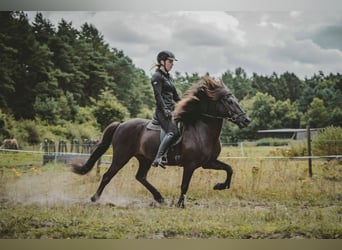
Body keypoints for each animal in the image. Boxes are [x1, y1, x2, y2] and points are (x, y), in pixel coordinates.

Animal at [73, 75, 248, 207]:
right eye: (229, 101)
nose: (246, 120)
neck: (202, 131)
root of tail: (121, 124)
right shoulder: (190, 165)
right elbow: (185, 185)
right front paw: (180, 204)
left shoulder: (208, 162)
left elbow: (229, 169)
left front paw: (220, 186)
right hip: (121, 156)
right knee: (107, 176)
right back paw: (95, 198)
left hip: (144, 158)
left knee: (140, 177)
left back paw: (160, 198)